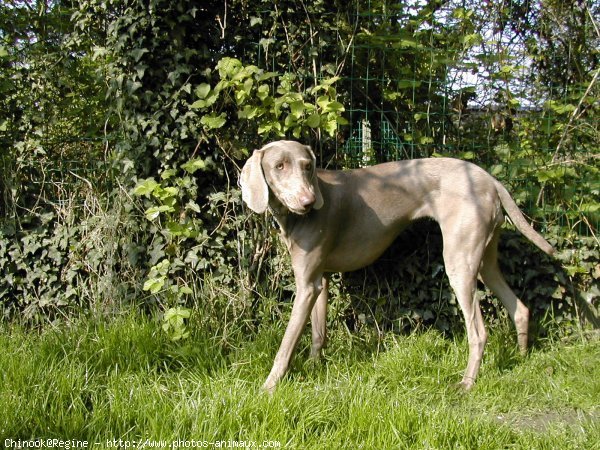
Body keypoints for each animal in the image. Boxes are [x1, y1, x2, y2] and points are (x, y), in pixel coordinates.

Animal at [238, 139, 552, 392]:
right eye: (279, 166)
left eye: (306, 166)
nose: (309, 201)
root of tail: (490, 179)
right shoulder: (319, 280)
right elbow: (318, 333)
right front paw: (315, 367)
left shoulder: (306, 286)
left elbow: (286, 344)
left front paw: (269, 386)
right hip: (485, 260)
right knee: (520, 308)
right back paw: (522, 359)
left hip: (459, 264)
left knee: (478, 332)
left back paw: (466, 383)